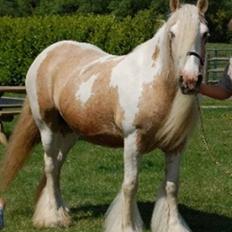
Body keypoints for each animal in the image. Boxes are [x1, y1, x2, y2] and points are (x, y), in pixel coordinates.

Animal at [0, 0, 209, 231]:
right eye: (172, 34)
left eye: (206, 34)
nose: (190, 80)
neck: (154, 85)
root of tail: (46, 54)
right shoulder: (132, 141)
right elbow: (130, 185)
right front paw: (127, 226)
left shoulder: (175, 146)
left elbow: (172, 187)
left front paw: (174, 226)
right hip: (47, 127)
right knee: (50, 166)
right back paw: (53, 217)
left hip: (69, 133)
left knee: (58, 166)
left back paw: (62, 211)